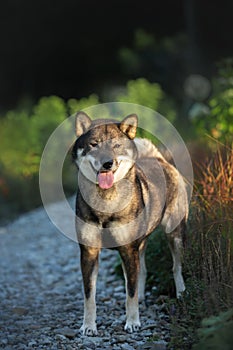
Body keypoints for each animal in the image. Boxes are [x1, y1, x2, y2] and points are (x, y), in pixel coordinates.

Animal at [72, 112, 188, 336]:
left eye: (116, 146)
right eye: (94, 144)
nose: (107, 163)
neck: (105, 202)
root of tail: (159, 159)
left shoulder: (127, 249)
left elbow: (130, 293)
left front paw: (133, 322)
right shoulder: (90, 252)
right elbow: (89, 295)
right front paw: (88, 326)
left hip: (174, 235)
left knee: (175, 267)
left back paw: (182, 294)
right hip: (139, 246)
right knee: (141, 271)